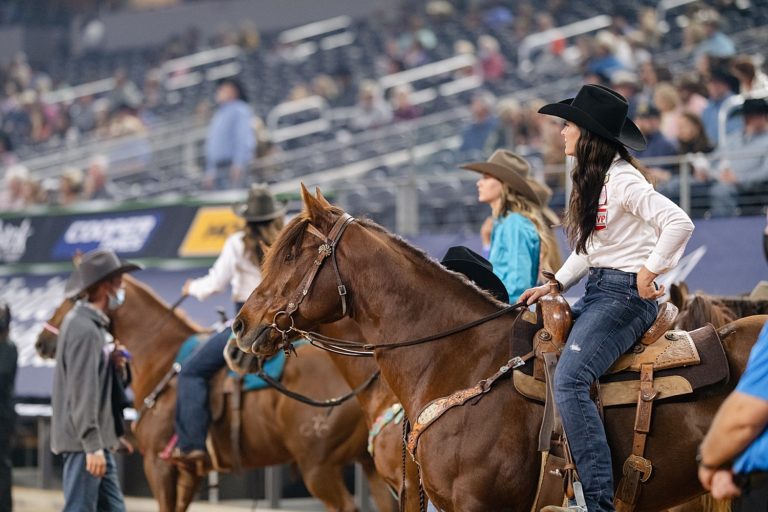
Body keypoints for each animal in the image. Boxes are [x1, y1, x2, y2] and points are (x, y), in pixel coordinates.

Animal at [33, 274, 392, 512]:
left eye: (72, 298)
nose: (41, 342)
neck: (161, 356)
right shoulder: (189, 473)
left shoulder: (159, 465)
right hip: (370, 465)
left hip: (319, 469)